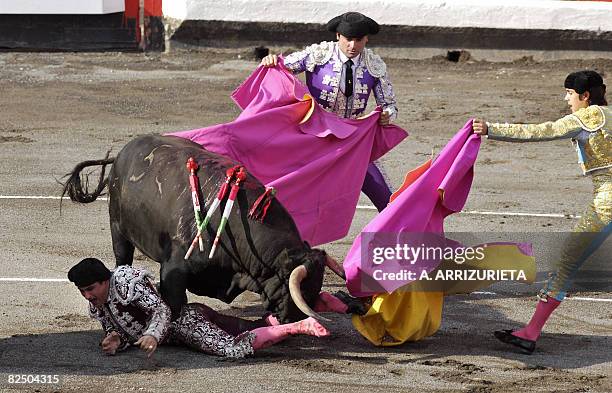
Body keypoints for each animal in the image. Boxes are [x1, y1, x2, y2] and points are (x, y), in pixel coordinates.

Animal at [62, 135, 344, 322]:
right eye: (299, 287)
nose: (296, 319)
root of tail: (123, 152)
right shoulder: (174, 267)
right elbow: (175, 301)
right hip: (118, 229)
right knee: (122, 257)